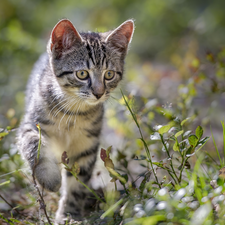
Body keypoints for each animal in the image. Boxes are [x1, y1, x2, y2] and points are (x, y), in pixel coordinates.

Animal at [17, 18, 134, 222]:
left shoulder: (86, 144)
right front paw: (50, 178)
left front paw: (70, 214)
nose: (99, 93)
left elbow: (78, 182)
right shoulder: (31, 125)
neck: (73, 113)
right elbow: (34, 146)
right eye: (82, 74)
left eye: (109, 74)